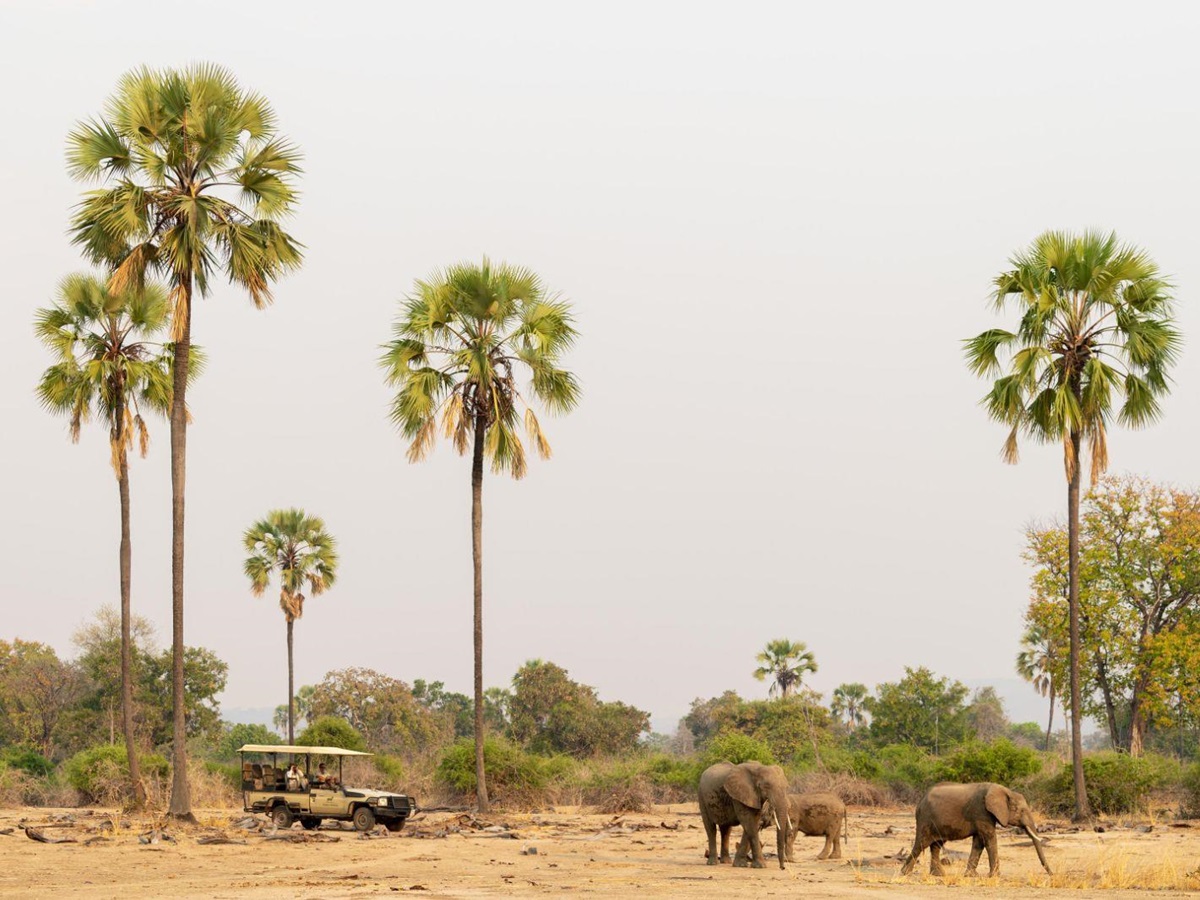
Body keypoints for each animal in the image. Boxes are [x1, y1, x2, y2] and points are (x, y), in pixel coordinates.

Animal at [899, 782, 1052, 877]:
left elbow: (979, 842)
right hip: (925, 819)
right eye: (1021, 811)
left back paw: (938, 874)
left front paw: (971, 875)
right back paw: (905, 873)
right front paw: (995, 876)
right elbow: (989, 839)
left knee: (936, 845)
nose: (1052, 874)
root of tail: (921, 800)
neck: (1004, 790)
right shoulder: (981, 812)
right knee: (921, 844)